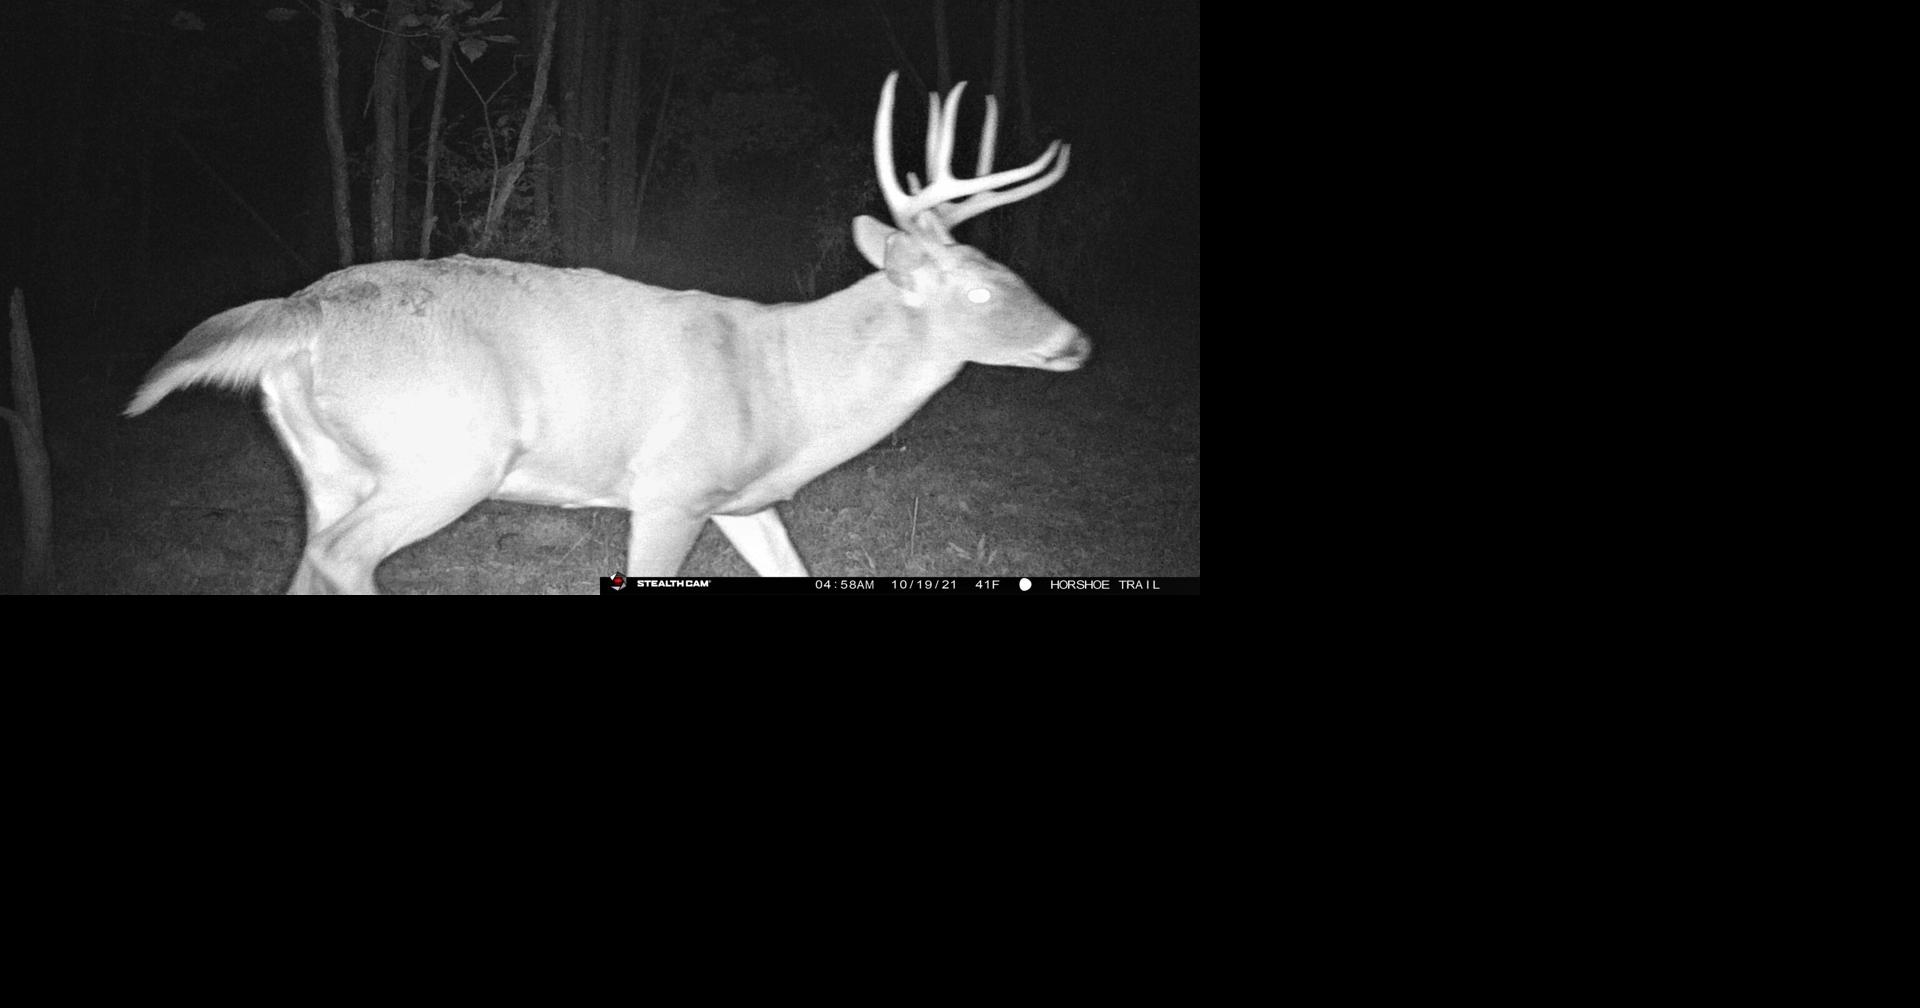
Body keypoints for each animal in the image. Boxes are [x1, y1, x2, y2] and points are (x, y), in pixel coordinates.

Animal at [124, 72, 1087, 594]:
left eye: (1014, 274)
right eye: (978, 290)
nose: (1074, 341)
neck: (791, 389)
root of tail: (304, 311)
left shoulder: (744, 498)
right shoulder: (670, 487)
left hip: (329, 466)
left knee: (308, 562)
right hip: (449, 456)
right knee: (340, 558)